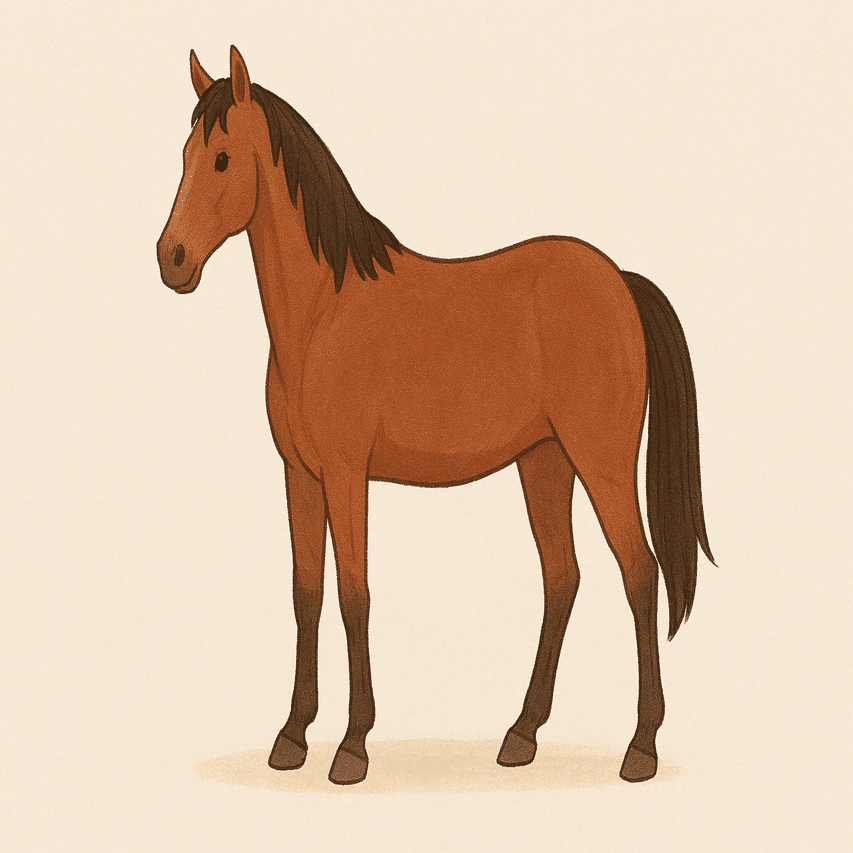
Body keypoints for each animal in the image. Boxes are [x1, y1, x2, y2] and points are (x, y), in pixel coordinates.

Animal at [157, 46, 714, 786]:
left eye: (221, 159)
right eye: (185, 154)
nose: (171, 260)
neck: (321, 313)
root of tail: (618, 280)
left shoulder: (346, 475)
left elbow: (354, 595)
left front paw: (351, 746)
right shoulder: (301, 476)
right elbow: (306, 593)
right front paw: (292, 736)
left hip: (601, 463)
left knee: (639, 573)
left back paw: (640, 745)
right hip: (544, 463)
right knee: (562, 578)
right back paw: (521, 733)